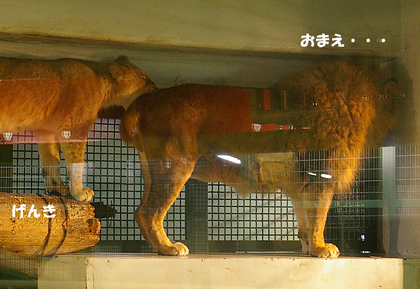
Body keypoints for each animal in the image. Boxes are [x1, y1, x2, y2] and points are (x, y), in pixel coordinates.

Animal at [0, 55, 156, 201]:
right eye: (143, 76)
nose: (156, 87)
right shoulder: (74, 127)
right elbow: (77, 162)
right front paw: (79, 192)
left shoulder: (45, 130)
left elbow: (51, 159)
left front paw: (57, 188)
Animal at [120, 60, 396, 256]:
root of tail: (147, 98)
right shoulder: (321, 173)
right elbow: (319, 216)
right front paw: (321, 249)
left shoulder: (300, 182)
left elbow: (305, 221)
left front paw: (309, 249)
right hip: (176, 164)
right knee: (149, 212)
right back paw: (168, 248)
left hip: (152, 170)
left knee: (139, 211)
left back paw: (157, 248)